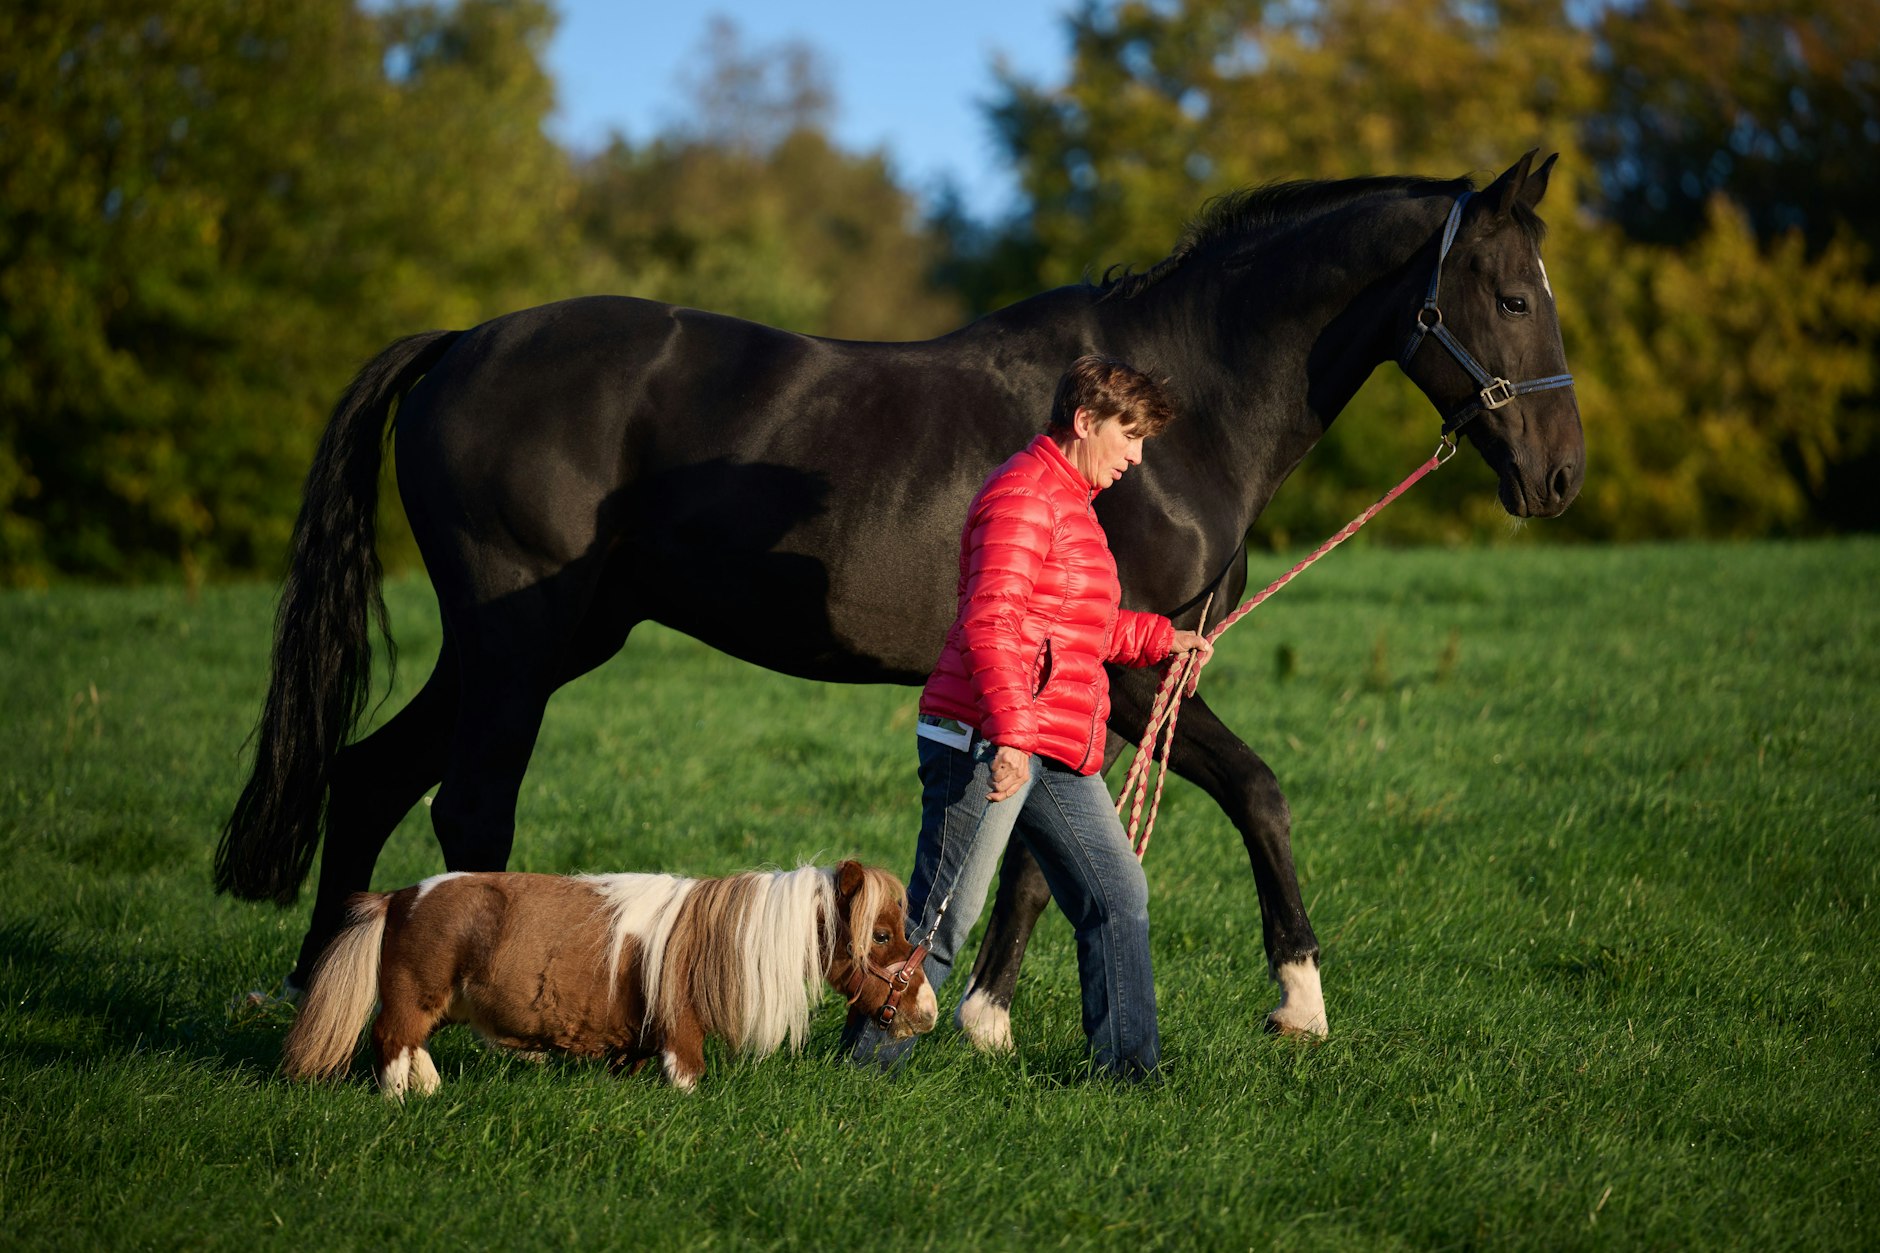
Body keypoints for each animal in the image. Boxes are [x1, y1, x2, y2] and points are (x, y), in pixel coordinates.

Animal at [220, 151, 1582, 1048]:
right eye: (1514, 296)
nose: (1560, 475)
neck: (1168, 414)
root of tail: (460, 342)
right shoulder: (1133, 674)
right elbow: (1253, 792)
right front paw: (1296, 998)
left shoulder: (1084, 682)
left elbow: (1039, 852)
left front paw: (977, 1017)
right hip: (518, 640)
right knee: (468, 810)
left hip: (525, 641)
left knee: (368, 778)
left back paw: (317, 995)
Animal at [282, 860, 933, 1096]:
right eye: (879, 936)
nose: (926, 1009)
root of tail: (396, 898)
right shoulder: (681, 1035)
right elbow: (687, 1077)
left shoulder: (639, 1042)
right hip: (411, 998)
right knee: (392, 1043)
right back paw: (400, 1104)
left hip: (433, 1006)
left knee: (413, 1046)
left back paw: (432, 1093)